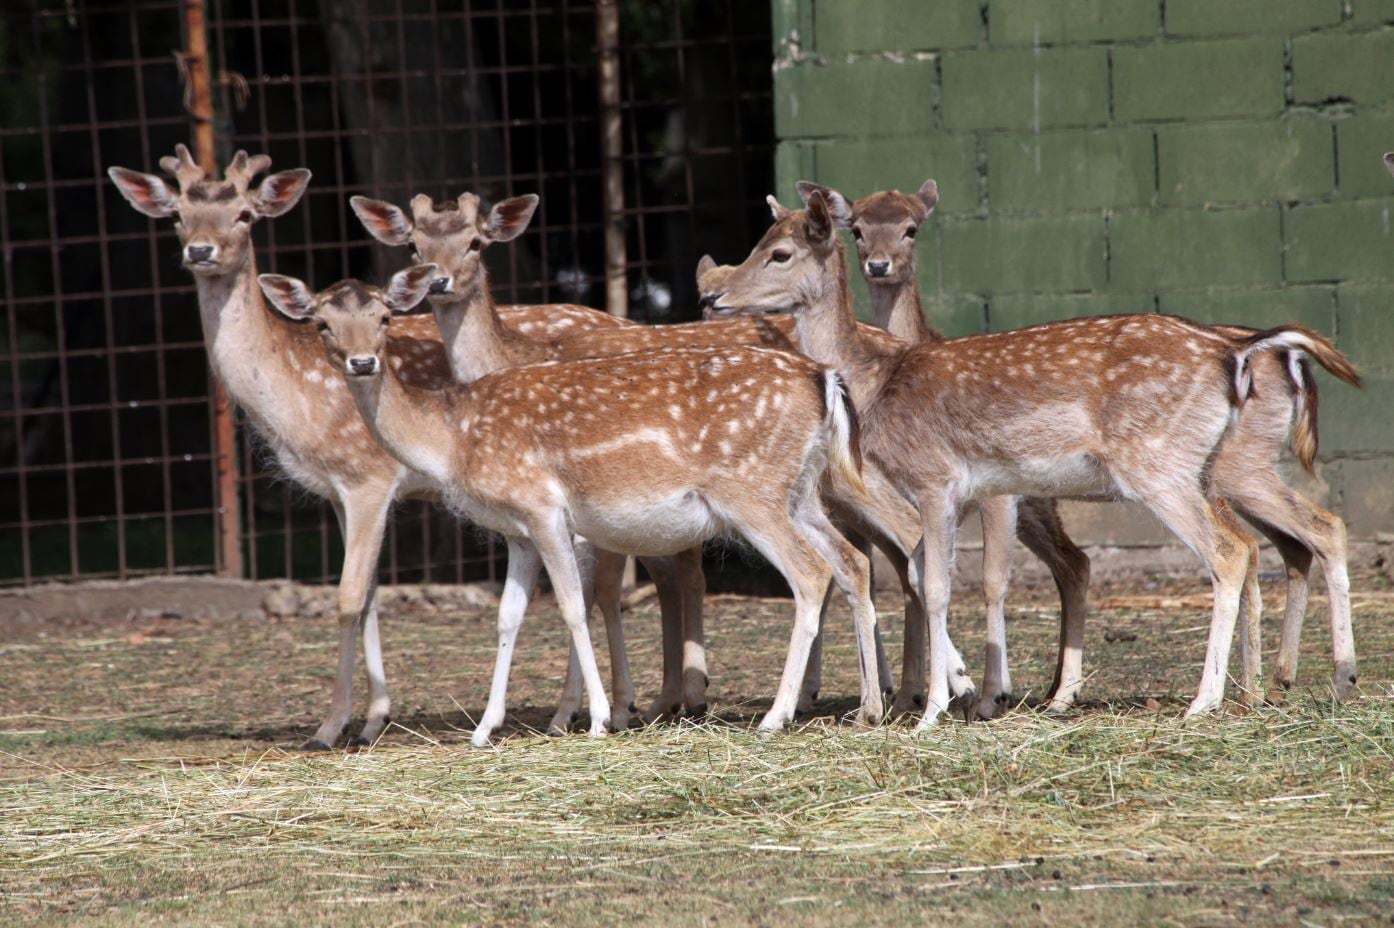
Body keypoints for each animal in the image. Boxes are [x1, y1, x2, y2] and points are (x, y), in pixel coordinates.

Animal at [105, 146, 649, 752]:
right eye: (177, 214)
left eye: (244, 215)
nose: (201, 250)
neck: (293, 404)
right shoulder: (335, 492)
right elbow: (366, 597)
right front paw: (372, 719)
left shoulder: (370, 477)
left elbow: (347, 595)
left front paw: (329, 727)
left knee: (596, 578)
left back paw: (582, 711)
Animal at [259, 263, 881, 741]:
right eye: (322, 324)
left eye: (385, 317)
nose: (362, 362)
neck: (453, 438)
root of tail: (825, 378)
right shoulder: (515, 529)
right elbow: (508, 616)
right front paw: (484, 729)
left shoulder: (542, 507)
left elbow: (571, 607)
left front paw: (600, 718)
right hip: (799, 491)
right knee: (852, 561)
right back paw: (869, 710)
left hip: (752, 491)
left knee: (810, 574)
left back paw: (777, 716)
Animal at [348, 190, 975, 718]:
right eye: (413, 245)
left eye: (476, 241)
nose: (437, 281)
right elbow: (657, 586)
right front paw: (664, 697)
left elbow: (598, 594)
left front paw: (595, 710)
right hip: (811, 491)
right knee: (863, 560)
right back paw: (883, 696)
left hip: (842, 480)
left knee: (897, 545)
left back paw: (939, 689)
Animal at [708, 188, 1360, 724]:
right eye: (760, 242)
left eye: (780, 253)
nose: (714, 293)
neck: (877, 382)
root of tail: (1236, 354)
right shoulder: (960, 492)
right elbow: (923, 575)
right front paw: (961, 690)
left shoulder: (937, 479)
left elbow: (943, 585)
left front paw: (936, 711)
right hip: (1205, 468)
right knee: (1267, 543)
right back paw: (1283, 686)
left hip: (1162, 464)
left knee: (1237, 549)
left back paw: (1213, 700)